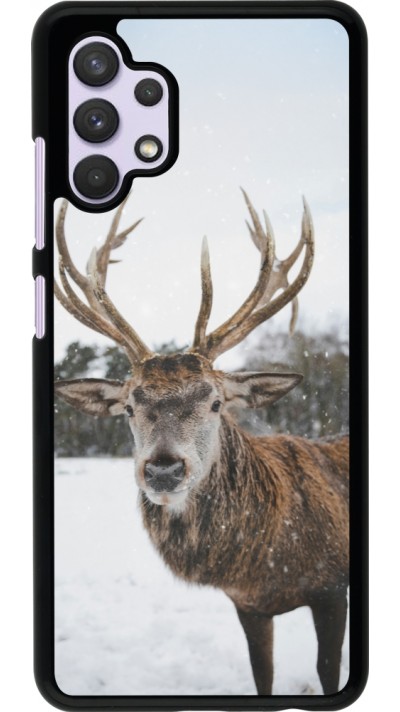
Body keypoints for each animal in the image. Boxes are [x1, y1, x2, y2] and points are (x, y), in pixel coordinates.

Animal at [54, 190, 349, 696]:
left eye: (215, 402)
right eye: (129, 407)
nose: (163, 469)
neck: (267, 563)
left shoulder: (332, 588)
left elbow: (329, 671)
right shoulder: (247, 604)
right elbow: (262, 674)